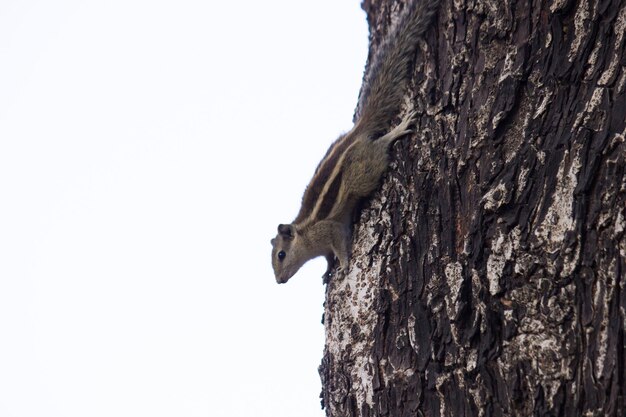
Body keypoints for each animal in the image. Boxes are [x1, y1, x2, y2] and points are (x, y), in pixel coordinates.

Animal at [270, 0, 438, 282]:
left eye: (281, 255)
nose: (280, 281)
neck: (306, 237)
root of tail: (356, 132)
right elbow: (328, 257)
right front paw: (327, 270)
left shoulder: (329, 229)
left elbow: (339, 243)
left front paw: (345, 263)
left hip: (363, 171)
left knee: (379, 148)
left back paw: (396, 131)